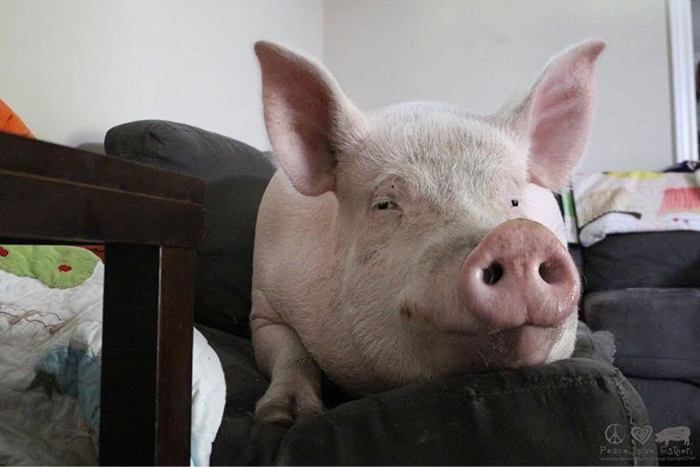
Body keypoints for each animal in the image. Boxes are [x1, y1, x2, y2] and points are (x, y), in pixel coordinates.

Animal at [250, 39, 605, 425]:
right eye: (385, 204)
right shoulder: (263, 304)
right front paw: (283, 417)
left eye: (514, 200)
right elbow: (290, 350)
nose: (518, 239)